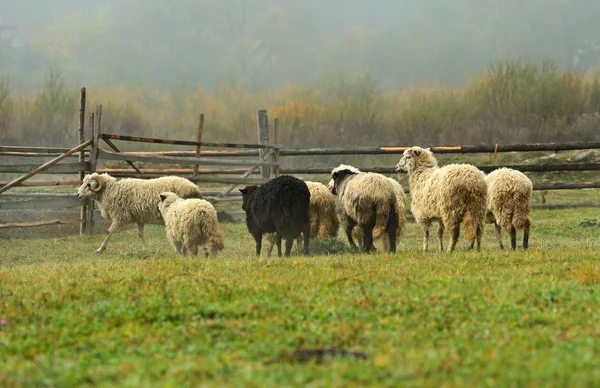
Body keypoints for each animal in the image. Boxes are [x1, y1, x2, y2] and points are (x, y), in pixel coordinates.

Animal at [74, 174, 202, 253]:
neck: (110, 191)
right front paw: (146, 249)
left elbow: (109, 232)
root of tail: (195, 188)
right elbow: (140, 234)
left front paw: (100, 249)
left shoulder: (119, 217)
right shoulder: (139, 218)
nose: (78, 195)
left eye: (88, 185)